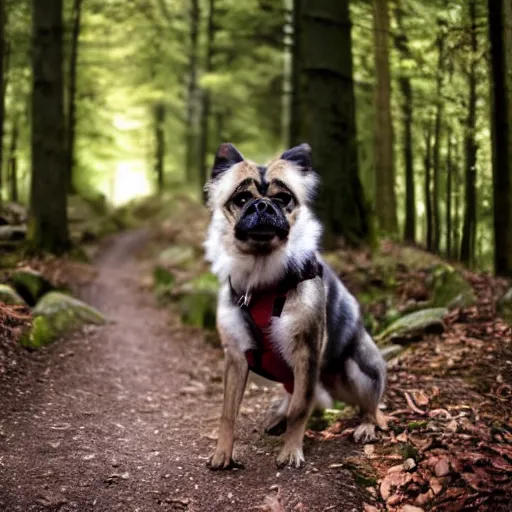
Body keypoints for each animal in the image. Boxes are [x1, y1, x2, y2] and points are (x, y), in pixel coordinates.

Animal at [202, 141, 386, 468]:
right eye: (242, 199)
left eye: (283, 198)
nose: (262, 206)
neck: (262, 276)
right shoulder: (235, 356)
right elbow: (228, 413)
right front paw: (223, 453)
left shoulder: (306, 350)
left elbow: (301, 406)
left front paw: (291, 452)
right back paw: (278, 417)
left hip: (357, 369)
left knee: (370, 407)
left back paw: (365, 426)